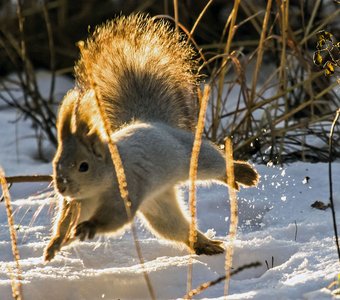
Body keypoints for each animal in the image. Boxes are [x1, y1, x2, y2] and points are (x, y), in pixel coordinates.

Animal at [43, 14, 258, 262]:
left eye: (83, 166)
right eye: (56, 163)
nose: (62, 187)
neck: (97, 187)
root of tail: (151, 120)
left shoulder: (127, 188)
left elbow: (116, 217)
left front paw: (90, 227)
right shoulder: (77, 204)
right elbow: (65, 222)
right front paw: (55, 243)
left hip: (193, 156)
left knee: (217, 164)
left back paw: (242, 173)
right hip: (158, 205)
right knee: (176, 228)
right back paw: (203, 244)